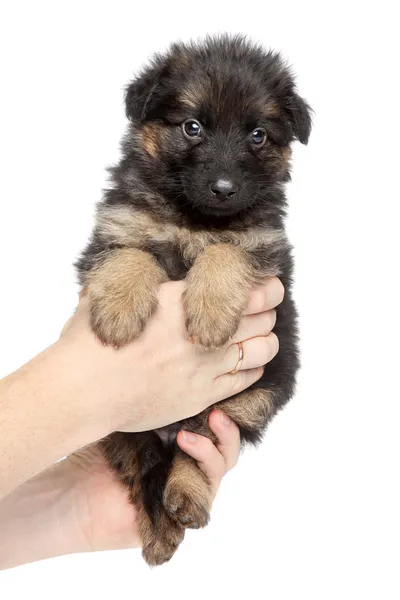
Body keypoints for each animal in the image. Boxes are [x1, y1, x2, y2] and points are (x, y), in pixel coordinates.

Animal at [76, 35, 312, 564]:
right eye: (192, 127)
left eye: (258, 135)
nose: (223, 189)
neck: (194, 218)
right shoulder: (119, 227)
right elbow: (131, 253)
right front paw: (118, 309)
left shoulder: (263, 248)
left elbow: (226, 251)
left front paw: (209, 316)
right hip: (123, 425)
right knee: (145, 468)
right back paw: (160, 529)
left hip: (246, 402)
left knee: (192, 446)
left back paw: (185, 496)